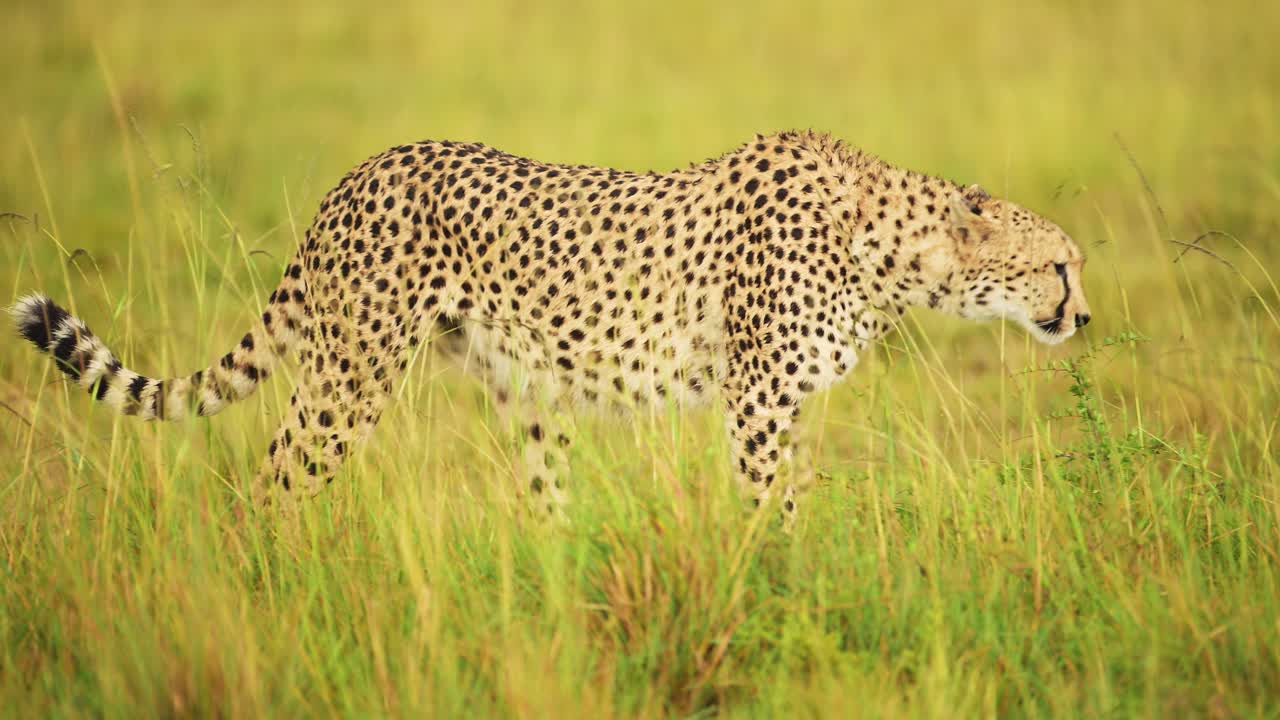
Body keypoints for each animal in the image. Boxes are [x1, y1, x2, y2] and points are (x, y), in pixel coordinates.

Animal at [11, 130, 1091, 521]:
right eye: (1059, 263)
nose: (1082, 312)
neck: (892, 250)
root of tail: (361, 170)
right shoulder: (754, 401)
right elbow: (772, 509)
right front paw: (783, 581)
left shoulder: (777, 403)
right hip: (353, 374)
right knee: (276, 478)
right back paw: (274, 584)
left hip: (526, 390)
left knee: (542, 500)